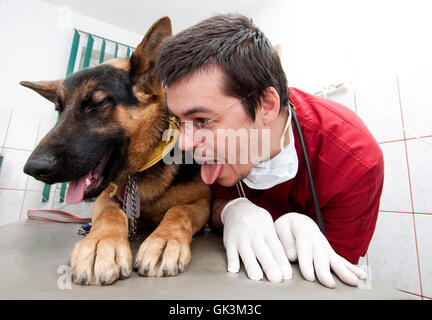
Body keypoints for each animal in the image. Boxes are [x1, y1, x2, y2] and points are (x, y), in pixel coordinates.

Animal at [19, 17, 211, 284]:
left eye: (97, 103)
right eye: (59, 109)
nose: (33, 168)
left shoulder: (201, 203)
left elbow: (178, 211)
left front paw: (164, 240)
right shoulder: (104, 198)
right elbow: (111, 214)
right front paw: (101, 243)